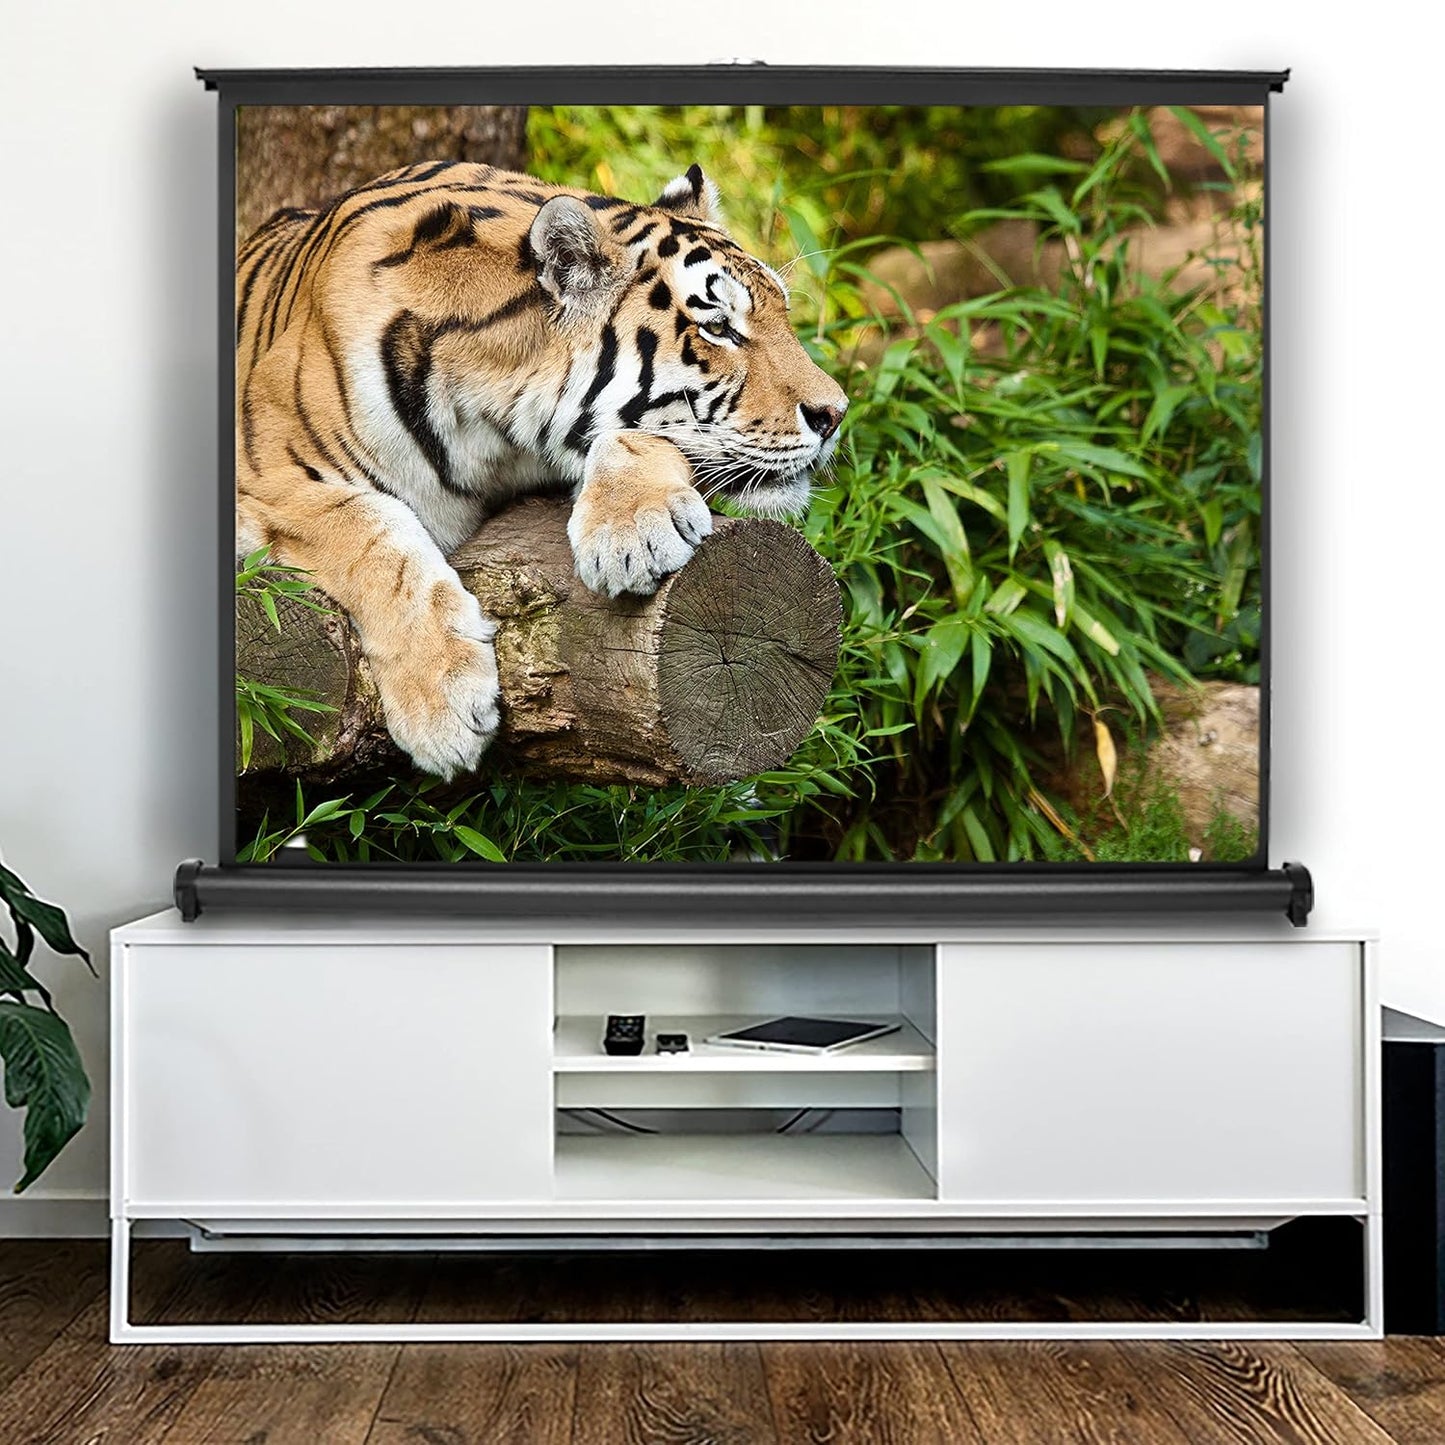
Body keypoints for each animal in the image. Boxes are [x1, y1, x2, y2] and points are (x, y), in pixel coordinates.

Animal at [236, 160, 849, 779]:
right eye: (717, 328)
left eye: (783, 314)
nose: (836, 414)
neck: (496, 431)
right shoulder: (265, 481)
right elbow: (372, 533)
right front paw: (445, 707)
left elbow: (646, 437)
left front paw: (633, 535)